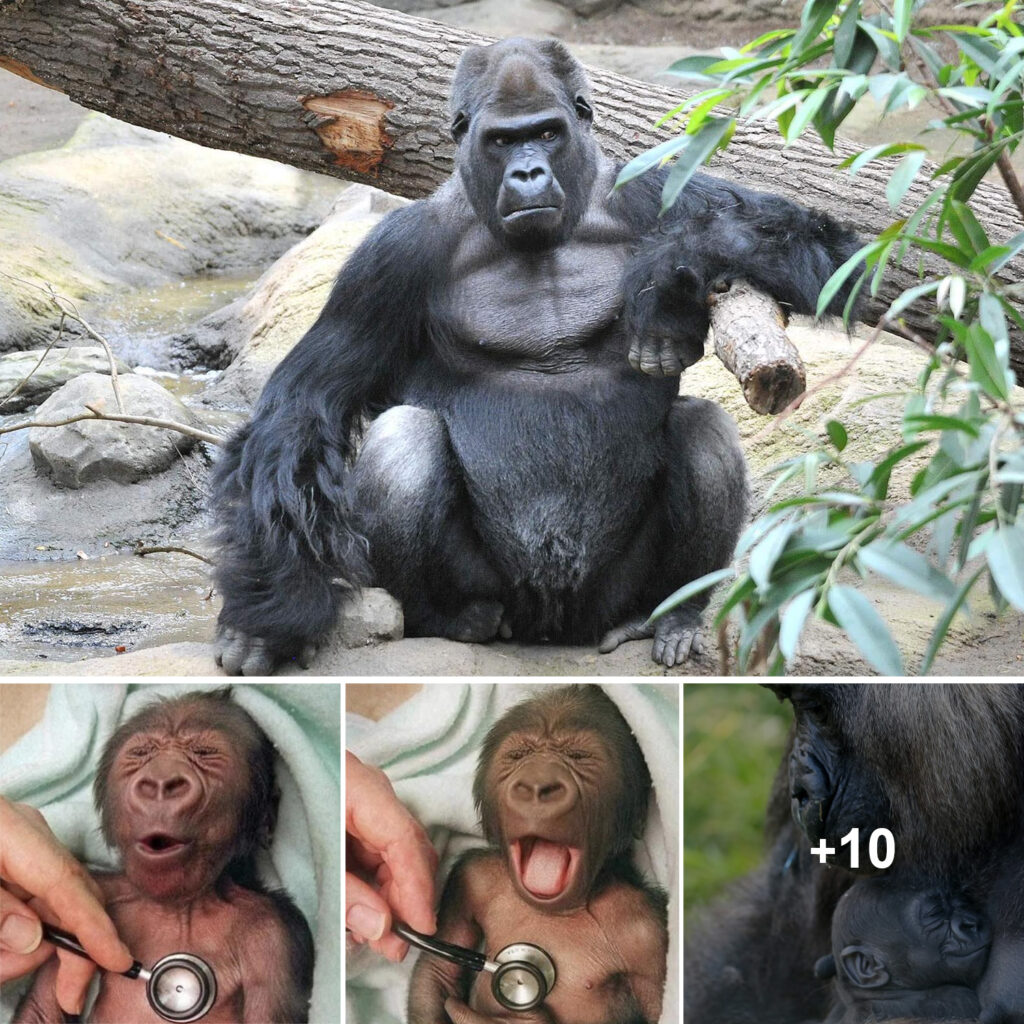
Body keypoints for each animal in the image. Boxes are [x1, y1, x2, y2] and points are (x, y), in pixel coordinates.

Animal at [14, 688, 311, 1024]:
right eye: (141, 753)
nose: (160, 780)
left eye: (205, 752)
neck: (179, 909)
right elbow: (42, 1008)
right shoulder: (93, 896)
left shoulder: (277, 934)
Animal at [211, 36, 860, 675]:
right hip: (498, 592)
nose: (527, 172)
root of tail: (555, 626)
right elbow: (305, 405)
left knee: (703, 428)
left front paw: (673, 275)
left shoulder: (655, 189)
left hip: (609, 595)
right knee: (404, 439)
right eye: (502, 140)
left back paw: (670, 613)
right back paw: (446, 616)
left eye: (547, 132)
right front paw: (270, 607)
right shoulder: (390, 255)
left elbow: (828, 252)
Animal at [403, 679, 667, 1024]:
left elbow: (658, 1007)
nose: (538, 784)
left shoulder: (647, 933)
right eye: (518, 755)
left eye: (579, 756)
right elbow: (438, 970)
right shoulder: (472, 878)